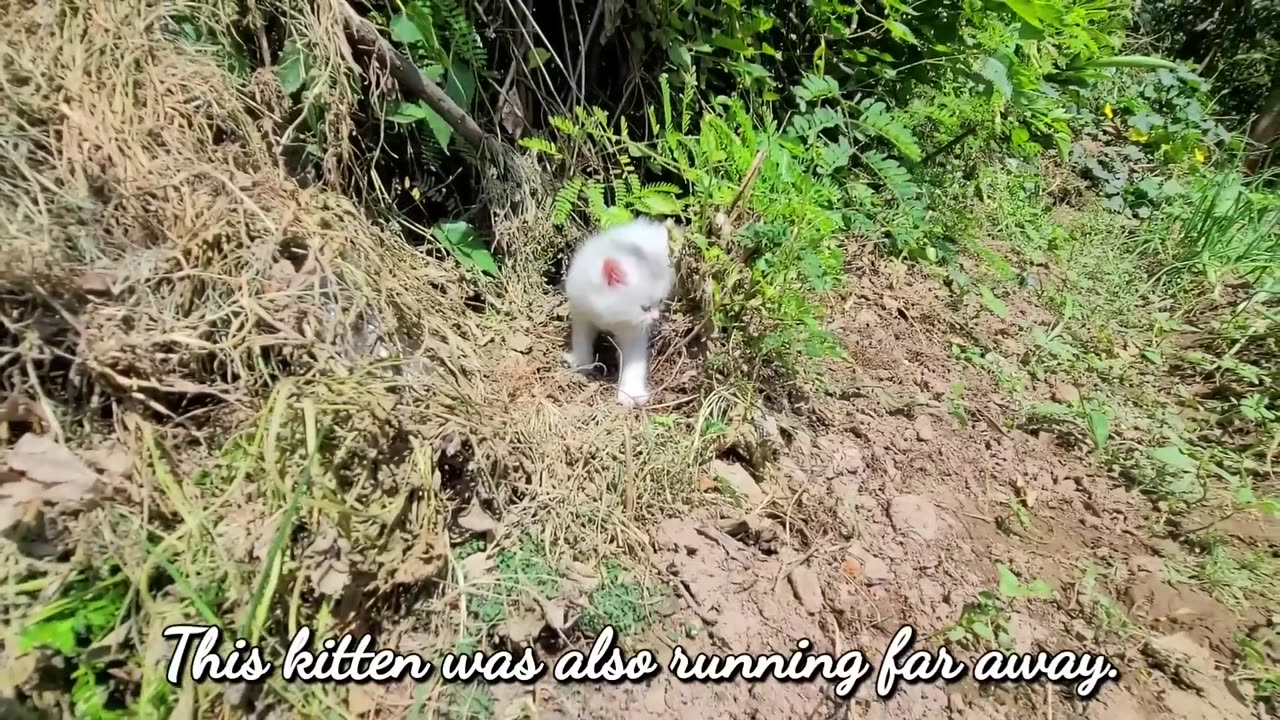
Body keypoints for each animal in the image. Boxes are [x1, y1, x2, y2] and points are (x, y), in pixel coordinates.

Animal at [563, 213, 675, 404]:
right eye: (645, 308)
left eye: (660, 301)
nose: (656, 317)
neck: (609, 316)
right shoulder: (581, 312)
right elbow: (581, 339)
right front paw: (580, 361)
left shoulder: (635, 331)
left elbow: (635, 361)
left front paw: (631, 393)